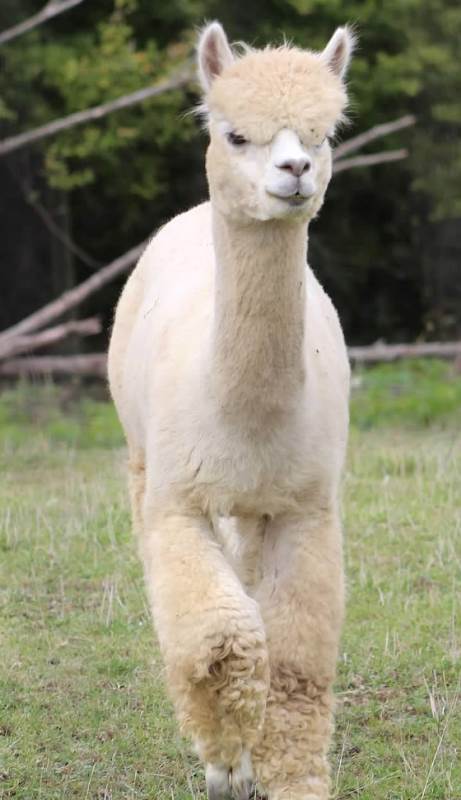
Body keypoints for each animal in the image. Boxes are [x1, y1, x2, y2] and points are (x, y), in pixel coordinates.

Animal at [108, 21, 354, 800]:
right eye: (235, 134)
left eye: (323, 132)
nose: (295, 170)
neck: (245, 420)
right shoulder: (177, 500)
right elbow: (219, 641)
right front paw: (223, 759)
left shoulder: (305, 504)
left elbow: (295, 658)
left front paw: (292, 777)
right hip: (142, 455)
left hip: (256, 504)